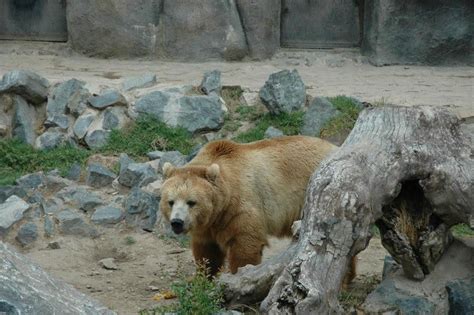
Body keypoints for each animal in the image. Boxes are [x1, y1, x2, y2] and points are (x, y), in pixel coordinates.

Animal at [159, 135, 340, 276]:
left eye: (191, 202)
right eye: (171, 201)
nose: (177, 222)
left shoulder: (238, 206)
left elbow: (245, 243)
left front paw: (238, 274)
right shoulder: (206, 225)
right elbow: (207, 253)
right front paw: (203, 279)